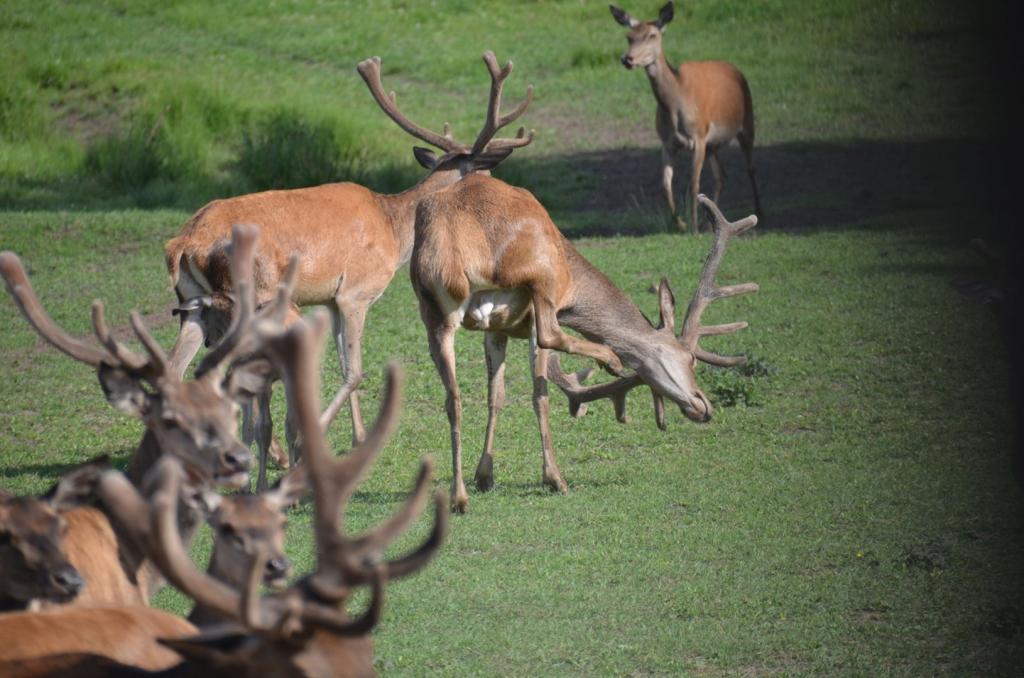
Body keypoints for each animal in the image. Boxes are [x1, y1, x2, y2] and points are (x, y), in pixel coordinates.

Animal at [163, 50, 532, 491]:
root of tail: (183, 244)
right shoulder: (358, 291)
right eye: (485, 170)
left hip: (193, 305)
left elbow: (342, 363)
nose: (502, 194)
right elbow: (354, 370)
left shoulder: (331, 300)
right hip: (247, 297)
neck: (395, 229)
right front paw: (316, 445)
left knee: (175, 368)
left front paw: (355, 439)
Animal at [411, 155, 757, 510]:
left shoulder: (496, 327)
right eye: (689, 358)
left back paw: (459, 496)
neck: (575, 284)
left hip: (433, 312)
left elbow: (497, 396)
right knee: (549, 336)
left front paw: (484, 476)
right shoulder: (537, 308)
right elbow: (540, 394)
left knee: (453, 399)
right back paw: (608, 361)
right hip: (539, 280)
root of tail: (455, 256)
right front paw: (551, 478)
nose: (704, 406)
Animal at [606, 1, 761, 232]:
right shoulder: (667, 142)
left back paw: (759, 212)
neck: (674, 108)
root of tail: (735, 69)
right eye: (629, 36)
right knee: (722, 175)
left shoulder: (698, 137)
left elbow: (694, 183)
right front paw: (681, 223)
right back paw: (713, 221)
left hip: (746, 122)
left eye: (652, 35)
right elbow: (665, 184)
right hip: (713, 145)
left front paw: (694, 227)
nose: (627, 59)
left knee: (750, 167)